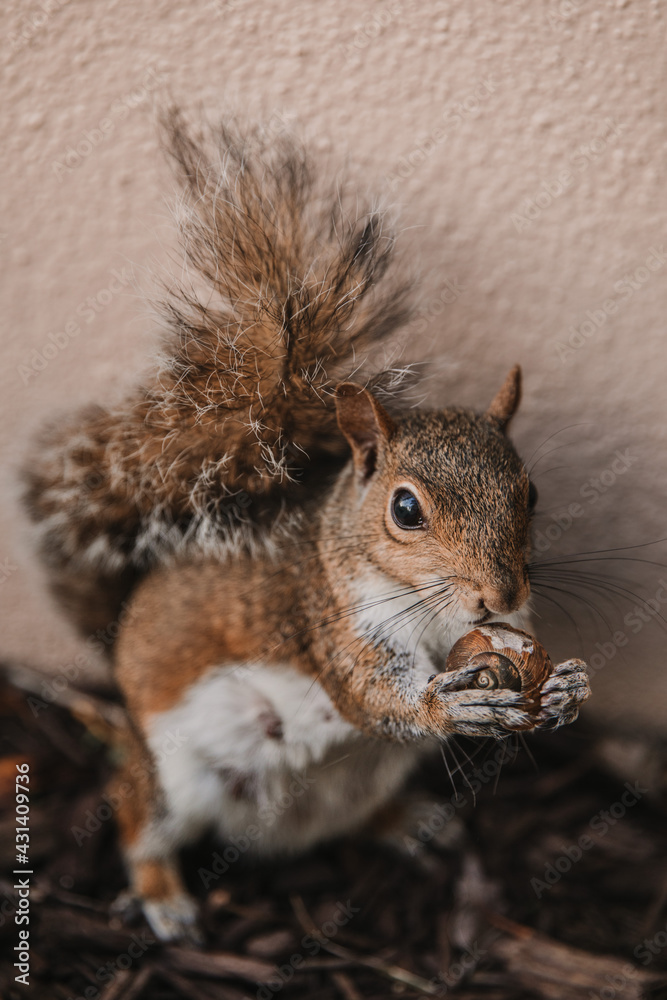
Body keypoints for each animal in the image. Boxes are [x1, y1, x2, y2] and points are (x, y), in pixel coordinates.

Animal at [22, 109, 591, 943]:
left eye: (532, 492)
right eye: (405, 509)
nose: (497, 594)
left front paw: (564, 690)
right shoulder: (329, 623)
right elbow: (371, 694)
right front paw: (448, 705)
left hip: (367, 775)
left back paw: (407, 822)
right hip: (176, 774)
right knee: (136, 813)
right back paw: (163, 897)